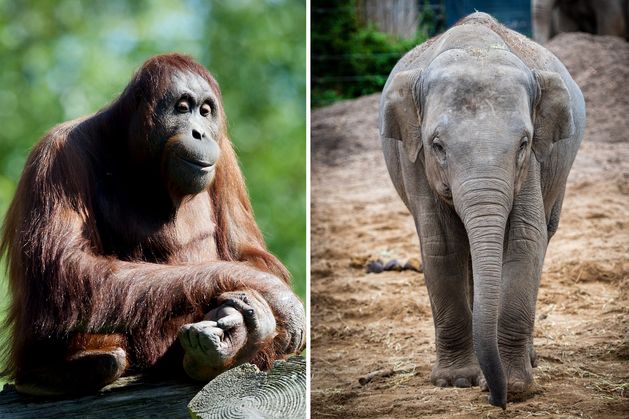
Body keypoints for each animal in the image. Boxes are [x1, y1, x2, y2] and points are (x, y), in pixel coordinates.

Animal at [380, 12, 588, 406]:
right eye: (437, 145)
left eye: (523, 143)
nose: (497, 399)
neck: (476, 47)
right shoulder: (415, 160)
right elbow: (442, 246)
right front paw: (457, 381)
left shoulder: (532, 165)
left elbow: (526, 241)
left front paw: (516, 385)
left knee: (544, 232)